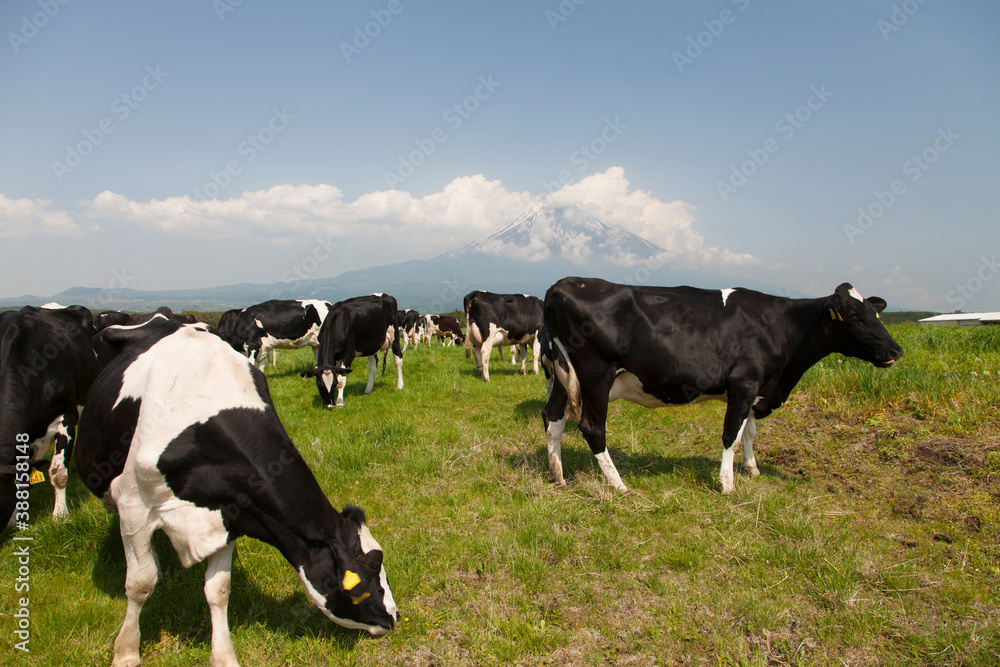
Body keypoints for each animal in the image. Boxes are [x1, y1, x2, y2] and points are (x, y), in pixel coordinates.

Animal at [76, 314, 396, 667]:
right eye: (373, 566)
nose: (393, 617)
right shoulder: (133, 501)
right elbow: (139, 584)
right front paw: (126, 653)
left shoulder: (230, 512)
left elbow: (218, 589)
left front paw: (224, 655)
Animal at [544, 280, 904, 494]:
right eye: (854, 315)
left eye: (875, 313)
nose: (895, 351)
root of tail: (563, 285)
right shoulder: (744, 383)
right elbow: (731, 433)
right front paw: (727, 484)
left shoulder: (756, 388)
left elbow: (749, 432)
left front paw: (752, 468)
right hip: (596, 375)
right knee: (592, 428)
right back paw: (619, 485)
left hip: (563, 378)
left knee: (552, 419)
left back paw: (558, 476)